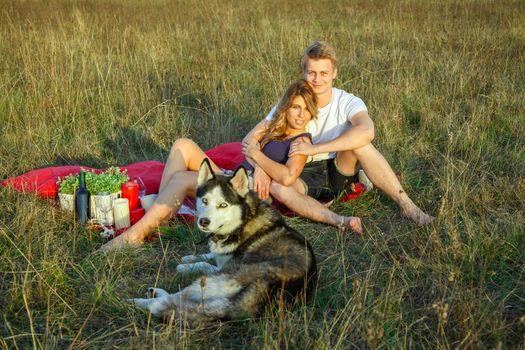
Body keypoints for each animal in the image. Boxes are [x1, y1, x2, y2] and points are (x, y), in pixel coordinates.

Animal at [133, 160, 318, 326]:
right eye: (205, 201)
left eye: (223, 205)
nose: (203, 222)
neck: (242, 222)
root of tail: (268, 289)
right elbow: (210, 254)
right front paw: (191, 257)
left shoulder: (219, 268)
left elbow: (205, 263)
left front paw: (186, 266)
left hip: (212, 280)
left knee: (173, 300)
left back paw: (141, 300)